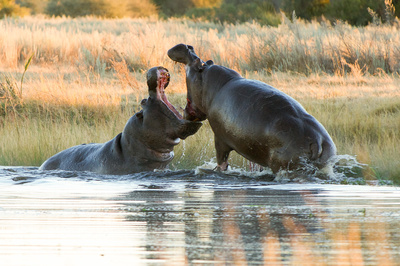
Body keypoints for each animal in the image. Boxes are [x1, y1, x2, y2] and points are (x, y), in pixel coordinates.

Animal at [167, 44, 336, 175]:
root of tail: (317, 141)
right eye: (205, 61)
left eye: (197, 63)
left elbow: (221, 160)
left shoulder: (220, 137)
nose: (188, 47)